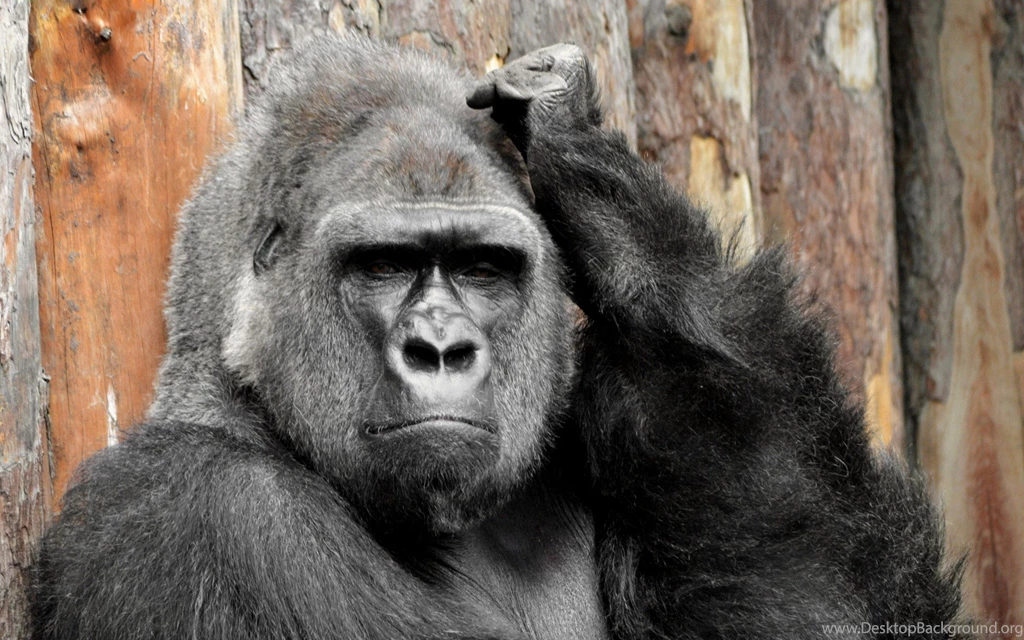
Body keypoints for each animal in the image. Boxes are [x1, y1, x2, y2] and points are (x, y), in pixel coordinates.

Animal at [31, 36, 967, 640]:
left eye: (482, 268)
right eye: (383, 264)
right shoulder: (190, 514)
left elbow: (831, 600)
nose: (442, 349)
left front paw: (583, 166)